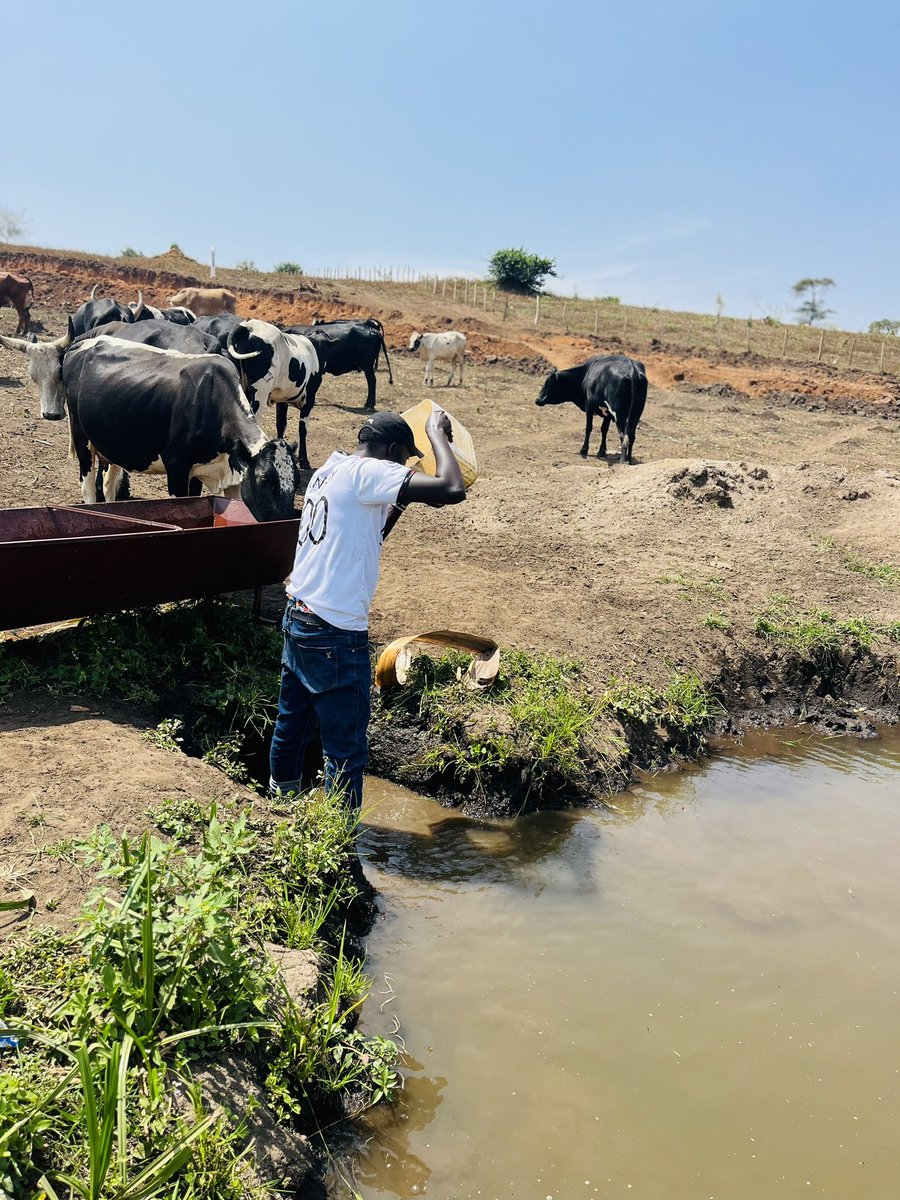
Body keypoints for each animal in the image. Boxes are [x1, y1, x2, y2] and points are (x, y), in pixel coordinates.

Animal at [62, 336, 299, 520]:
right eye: (264, 479)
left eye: (295, 480)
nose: (284, 520)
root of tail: (83, 343)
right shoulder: (176, 466)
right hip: (81, 438)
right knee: (88, 486)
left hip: (112, 445)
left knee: (109, 484)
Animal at [225, 319, 321, 468]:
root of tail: (248, 326)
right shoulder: (309, 399)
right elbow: (302, 429)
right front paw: (304, 460)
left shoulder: (282, 400)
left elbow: (281, 424)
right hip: (259, 393)